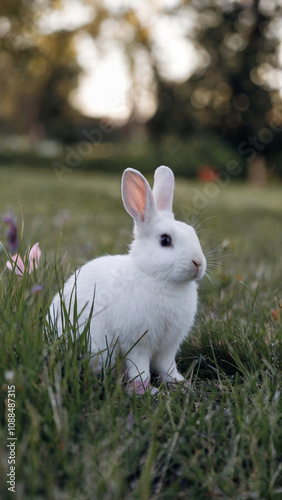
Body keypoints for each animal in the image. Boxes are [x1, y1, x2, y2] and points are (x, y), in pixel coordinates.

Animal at [49, 166, 206, 392]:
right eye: (165, 240)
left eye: (193, 233)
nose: (198, 263)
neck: (157, 278)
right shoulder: (136, 343)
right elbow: (140, 369)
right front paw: (147, 391)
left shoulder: (168, 346)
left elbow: (167, 367)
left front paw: (180, 384)